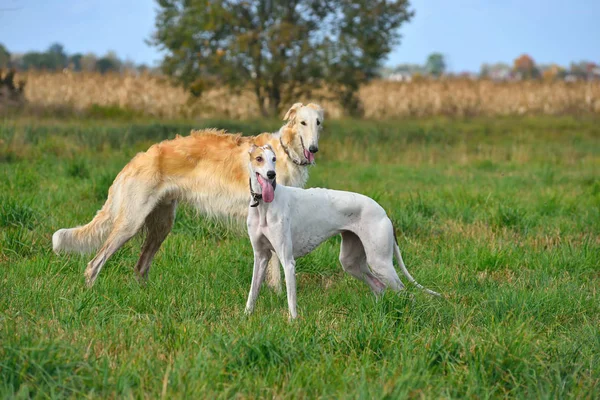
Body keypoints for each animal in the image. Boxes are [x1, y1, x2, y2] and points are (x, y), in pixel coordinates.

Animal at [51, 101, 324, 286]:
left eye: (318, 123)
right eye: (302, 122)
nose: (313, 149)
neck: (284, 152)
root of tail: (136, 160)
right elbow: (277, 269)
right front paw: (277, 296)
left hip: (162, 223)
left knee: (140, 267)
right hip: (130, 222)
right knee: (93, 264)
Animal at [244, 145, 440, 318]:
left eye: (274, 159)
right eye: (259, 159)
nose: (272, 174)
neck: (263, 206)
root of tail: (383, 212)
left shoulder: (288, 261)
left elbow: (291, 300)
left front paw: (294, 323)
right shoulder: (261, 257)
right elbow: (252, 292)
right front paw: (247, 317)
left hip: (380, 263)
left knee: (406, 292)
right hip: (351, 262)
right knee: (379, 287)